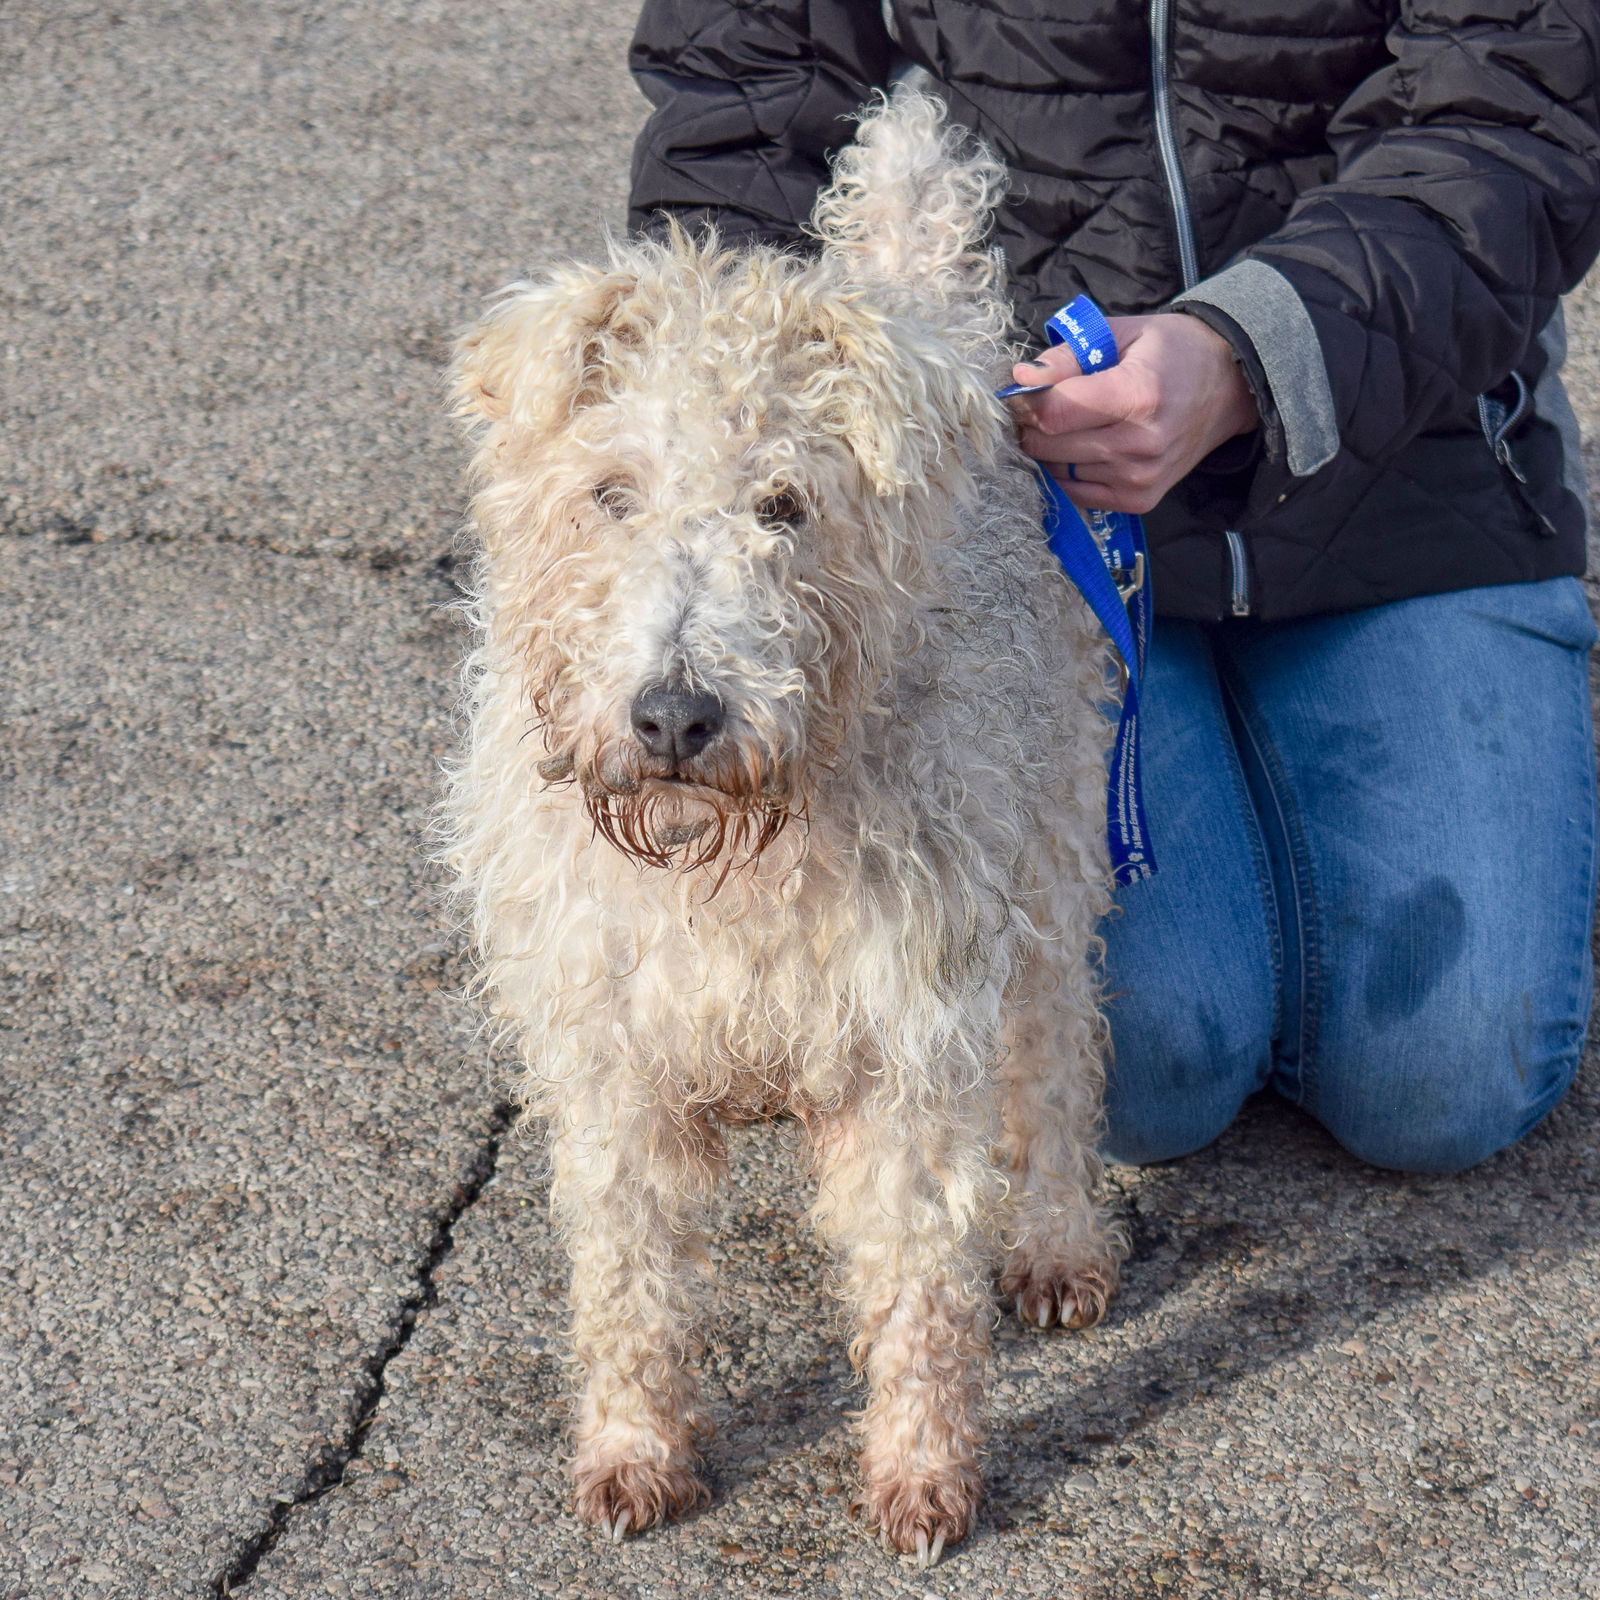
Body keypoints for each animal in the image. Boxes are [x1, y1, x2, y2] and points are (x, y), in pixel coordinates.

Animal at [444, 90, 1126, 1561]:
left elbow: (918, 1282)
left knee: (1057, 1059)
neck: (725, 861)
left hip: (1052, 852)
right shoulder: (609, 1051)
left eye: (785, 504)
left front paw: (924, 1478)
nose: (674, 715)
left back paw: (1055, 1244)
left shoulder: (905, 1041)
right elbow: (630, 1280)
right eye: (612, 492)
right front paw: (636, 1455)